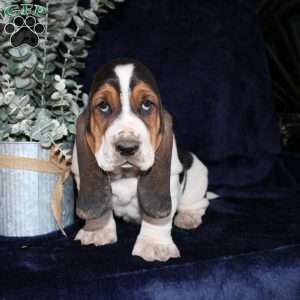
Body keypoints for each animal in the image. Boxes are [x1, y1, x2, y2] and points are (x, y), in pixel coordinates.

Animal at [72, 58, 210, 260]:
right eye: (103, 106)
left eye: (146, 104)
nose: (127, 147)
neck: (126, 174)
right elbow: (102, 207)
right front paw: (97, 230)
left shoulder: (169, 180)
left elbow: (157, 219)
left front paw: (154, 244)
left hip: (198, 177)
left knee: (199, 203)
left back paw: (187, 217)